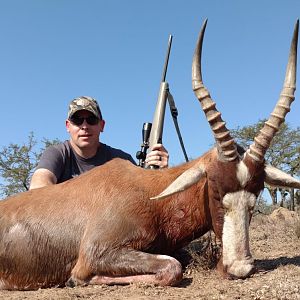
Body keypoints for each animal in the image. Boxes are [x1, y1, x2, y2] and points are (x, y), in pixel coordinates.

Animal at [0, 19, 300, 290]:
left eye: (256, 193)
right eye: (215, 190)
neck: (150, 193)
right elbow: (171, 267)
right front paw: (76, 280)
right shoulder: (96, 253)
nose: (239, 268)